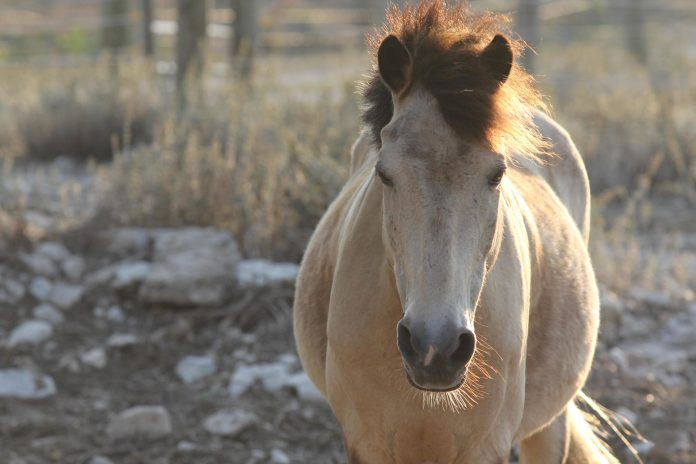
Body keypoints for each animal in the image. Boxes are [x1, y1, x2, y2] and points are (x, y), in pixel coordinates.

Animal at [294, 2, 620, 463]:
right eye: (384, 174)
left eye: (497, 174)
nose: (436, 349)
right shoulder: (365, 443)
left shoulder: (485, 447)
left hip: (549, 425)